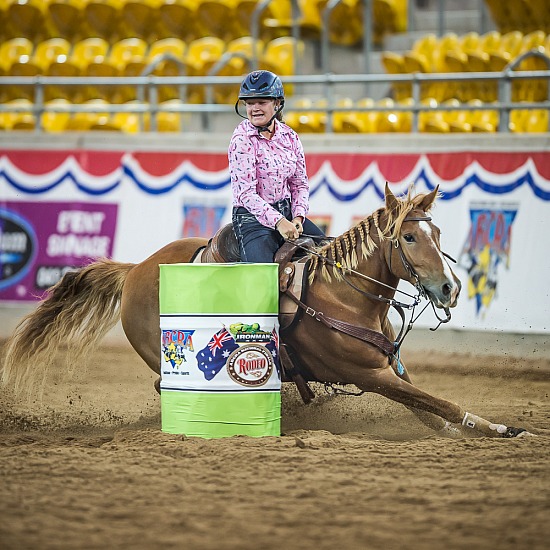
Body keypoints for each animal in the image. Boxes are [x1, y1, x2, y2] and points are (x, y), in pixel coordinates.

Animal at [0, 184, 536, 440]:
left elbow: (430, 410)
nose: (449, 288)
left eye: (437, 233)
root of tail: (135, 269)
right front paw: (502, 429)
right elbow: (439, 403)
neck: (344, 295)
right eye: (407, 236)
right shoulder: (368, 374)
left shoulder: (389, 370)